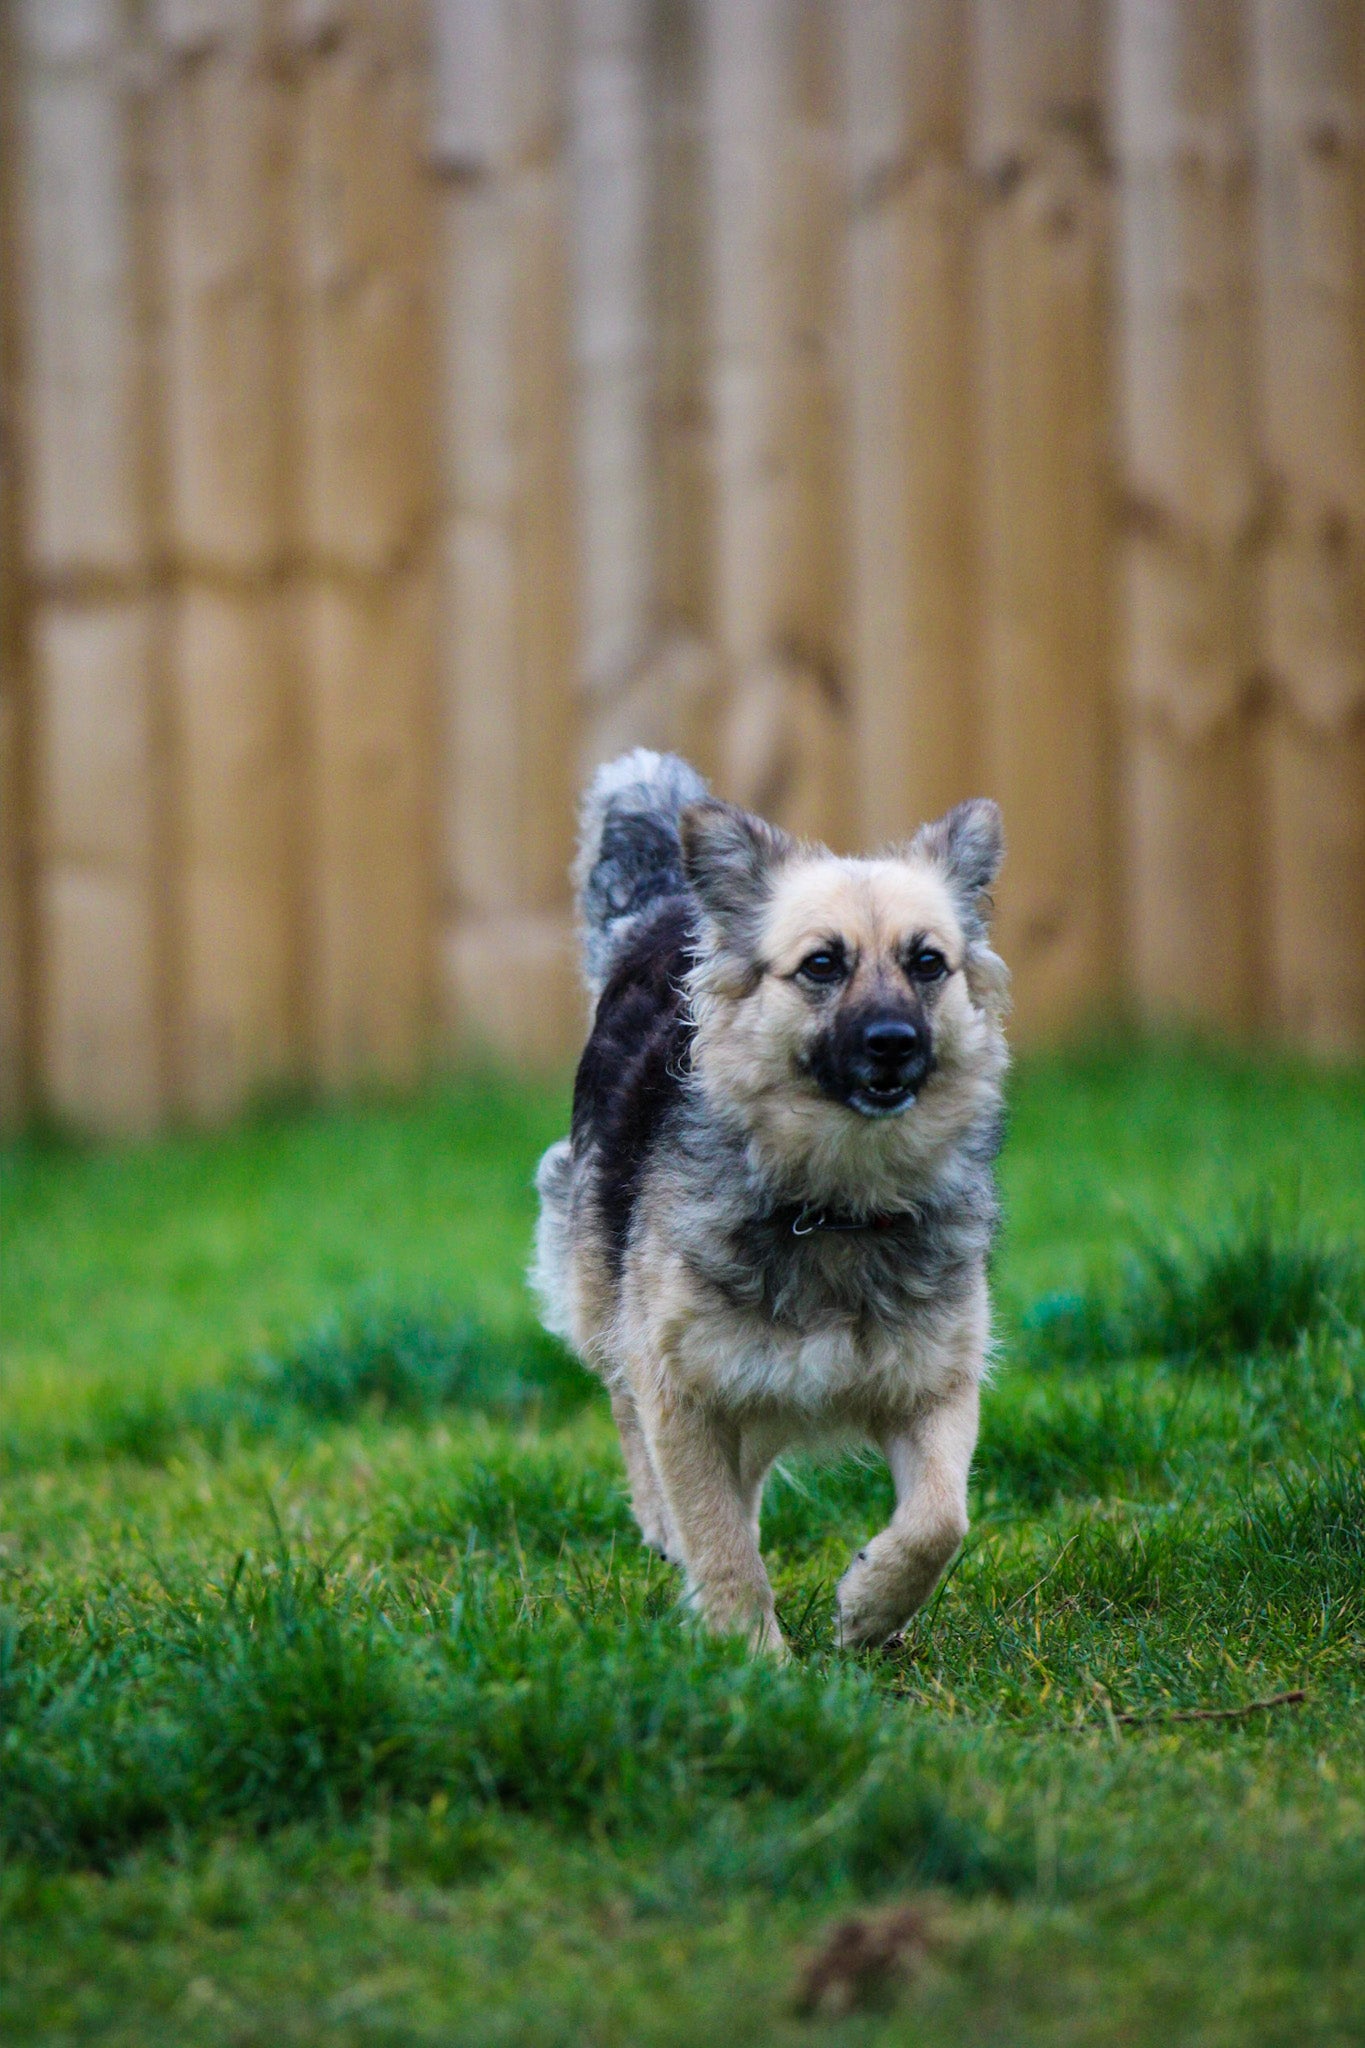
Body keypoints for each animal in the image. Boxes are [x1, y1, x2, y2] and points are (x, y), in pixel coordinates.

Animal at [532, 749, 1015, 1646]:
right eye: (822, 964)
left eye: (926, 962)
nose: (893, 1043)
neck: (833, 1203)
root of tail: (666, 911)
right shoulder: (682, 1392)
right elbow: (718, 1538)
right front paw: (750, 1656)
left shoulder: (933, 1383)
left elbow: (939, 1520)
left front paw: (870, 1606)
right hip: (597, 1280)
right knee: (625, 1404)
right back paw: (661, 1527)